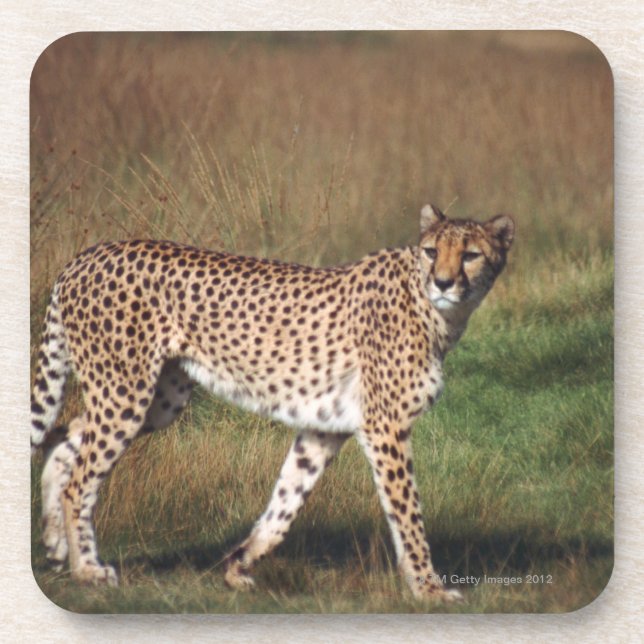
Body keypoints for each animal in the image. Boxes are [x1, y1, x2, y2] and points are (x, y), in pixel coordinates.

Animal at [30, 204, 514, 602]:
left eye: (470, 255)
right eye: (432, 251)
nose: (444, 282)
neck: (437, 311)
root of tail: (86, 255)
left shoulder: (325, 428)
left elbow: (285, 503)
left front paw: (238, 566)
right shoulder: (386, 428)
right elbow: (409, 514)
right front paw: (429, 588)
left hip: (158, 400)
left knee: (64, 437)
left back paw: (55, 544)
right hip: (126, 392)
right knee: (80, 479)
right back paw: (87, 569)